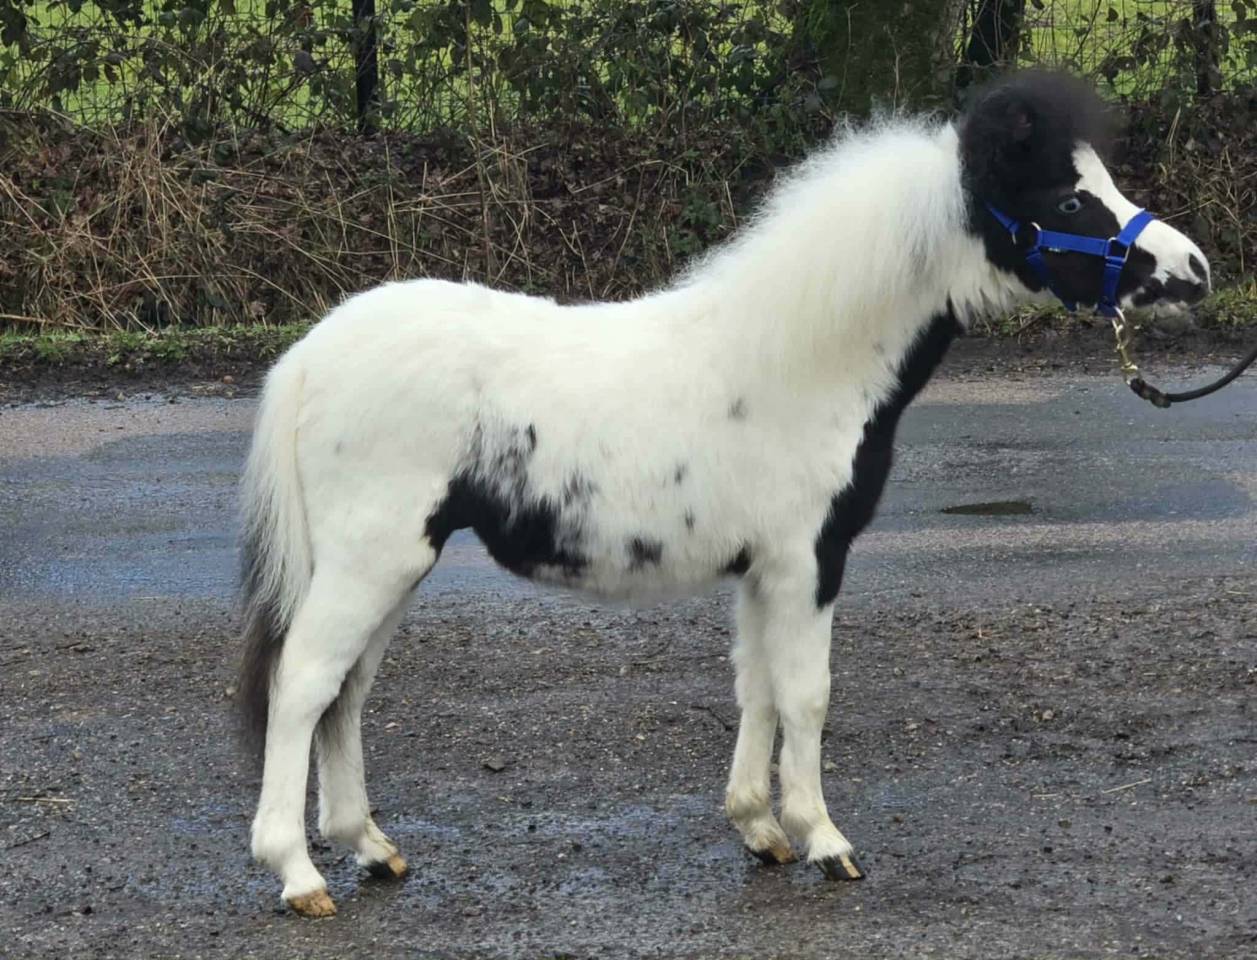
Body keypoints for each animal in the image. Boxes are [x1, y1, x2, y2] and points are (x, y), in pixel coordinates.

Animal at [238, 70, 1210, 917]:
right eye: (1065, 203)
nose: (1195, 271)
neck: (803, 364)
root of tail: (312, 355)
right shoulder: (806, 560)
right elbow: (807, 693)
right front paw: (824, 840)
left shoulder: (761, 570)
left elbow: (758, 687)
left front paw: (760, 829)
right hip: (372, 561)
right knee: (302, 686)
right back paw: (297, 874)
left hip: (389, 567)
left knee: (345, 692)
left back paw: (369, 847)